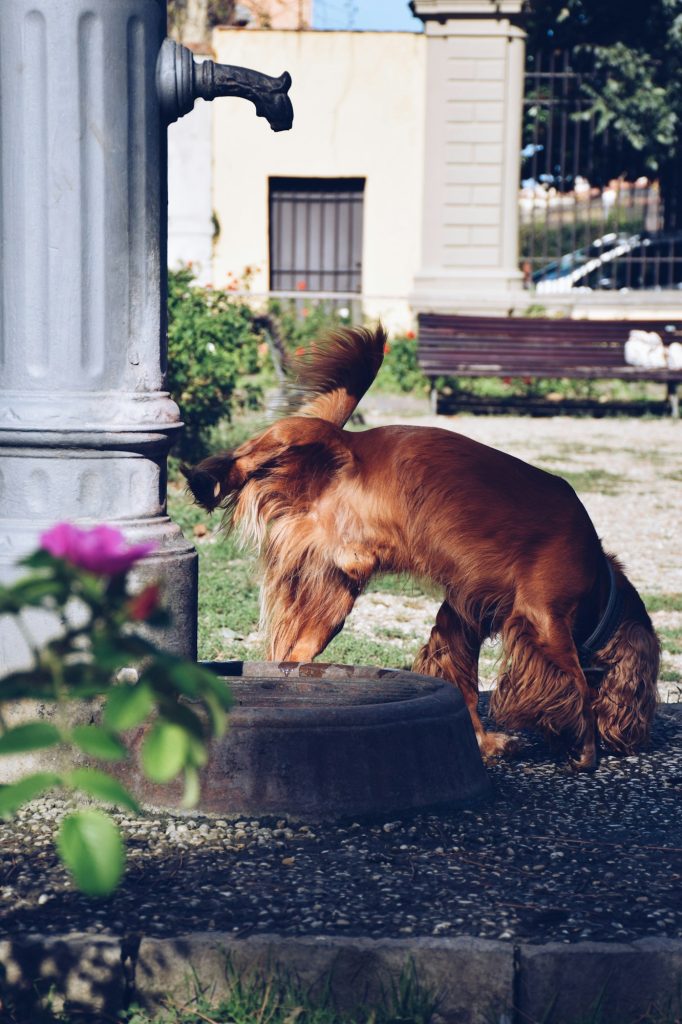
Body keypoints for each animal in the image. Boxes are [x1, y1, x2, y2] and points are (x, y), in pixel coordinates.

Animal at [183, 327, 655, 770]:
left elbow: (461, 679)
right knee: (245, 455)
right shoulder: (545, 621)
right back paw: (205, 479)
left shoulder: (462, 617)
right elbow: (577, 684)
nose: (636, 739)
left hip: (335, 594)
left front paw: (484, 744)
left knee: (290, 656)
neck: (599, 581)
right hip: (300, 437)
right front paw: (585, 750)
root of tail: (349, 441)